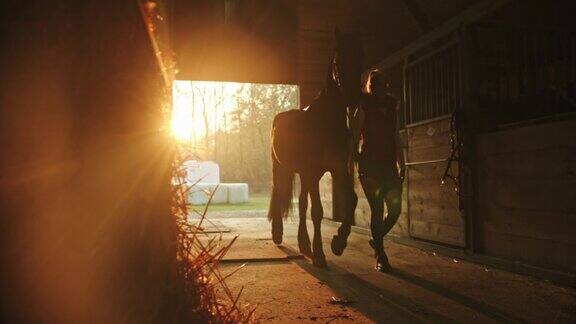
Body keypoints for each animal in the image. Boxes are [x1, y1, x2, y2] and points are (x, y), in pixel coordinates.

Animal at [268, 27, 362, 268]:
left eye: (361, 55)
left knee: (301, 204)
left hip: (307, 175)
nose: (354, 97)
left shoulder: (337, 169)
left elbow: (352, 199)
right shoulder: (312, 171)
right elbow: (317, 211)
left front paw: (338, 243)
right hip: (283, 169)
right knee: (281, 194)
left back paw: (304, 245)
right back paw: (278, 234)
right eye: (338, 58)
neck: (326, 122)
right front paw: (320, 254)